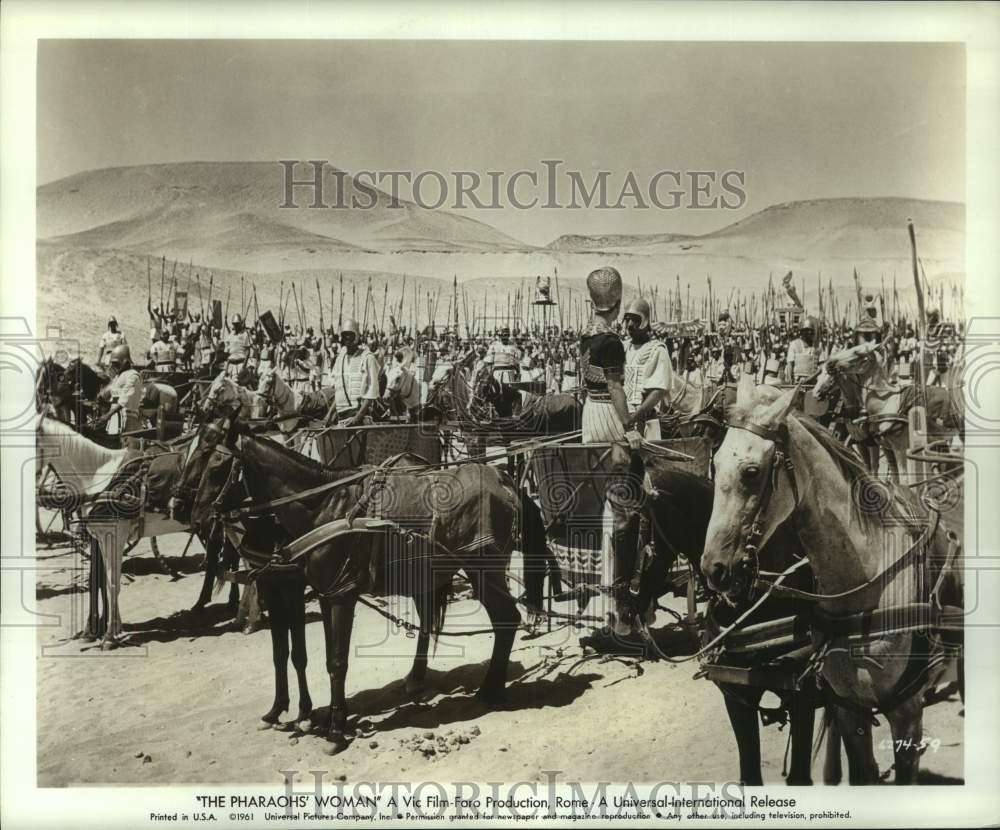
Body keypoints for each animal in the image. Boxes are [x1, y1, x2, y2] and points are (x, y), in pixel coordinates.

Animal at [172, 412, 536, 756]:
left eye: (215, 466)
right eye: (188, 458)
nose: (186, 512)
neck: (325, 507)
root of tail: (502, 480)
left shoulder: (335, 594)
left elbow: (334, 660)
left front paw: (331, 728)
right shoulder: (317, 592)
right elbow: (293, 654)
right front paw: (293, 713)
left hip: (484, 571)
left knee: (506, 620)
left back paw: (491, 690)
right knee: (433, 623)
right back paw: (421, 680)